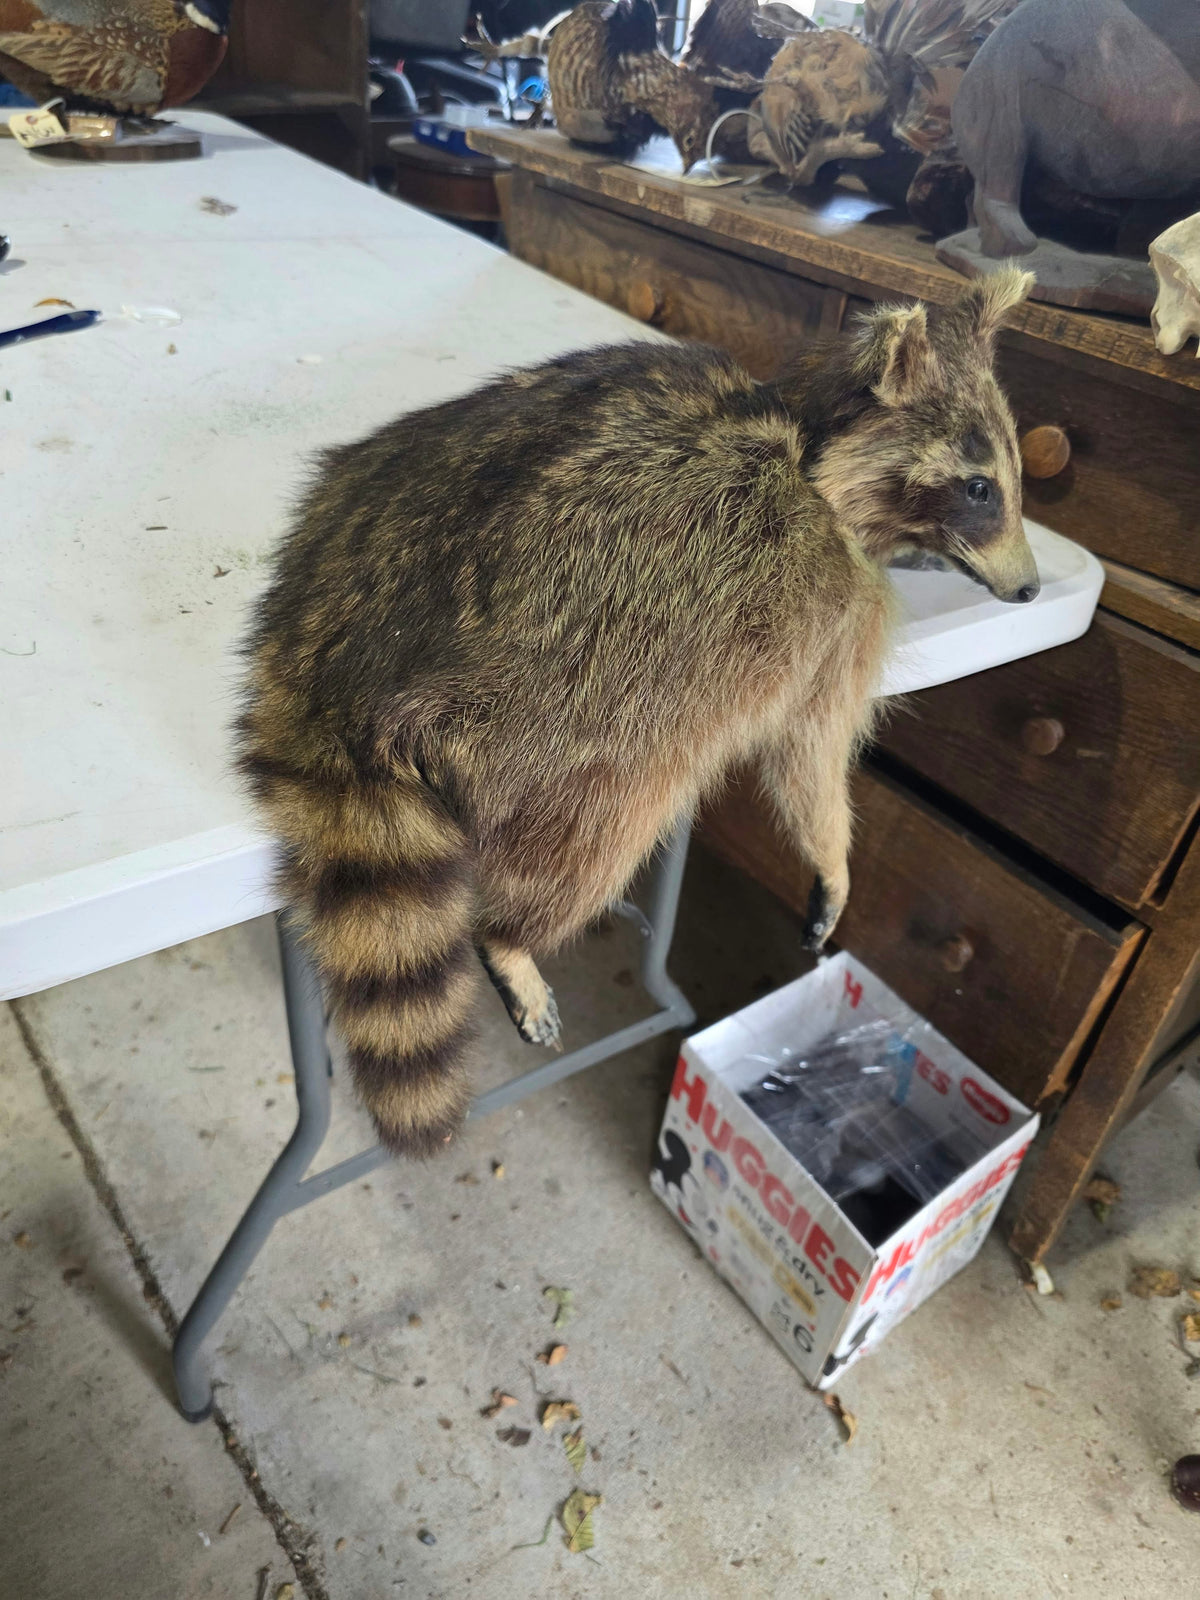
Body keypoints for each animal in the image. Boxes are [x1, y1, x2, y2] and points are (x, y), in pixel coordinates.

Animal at [238, 269, 1037, 1158]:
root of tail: (335, 680)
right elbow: (809, 751)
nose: (1031, 588)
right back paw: (511, 937)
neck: (808, 443)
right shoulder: (827, 609)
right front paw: (832, 855)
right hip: (581, 708)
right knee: (602, 827)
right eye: (979, 488)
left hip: (353, 509)